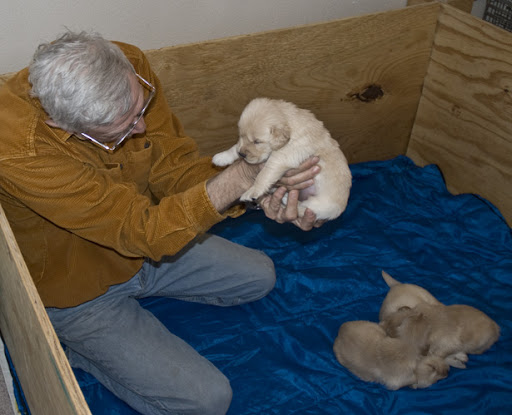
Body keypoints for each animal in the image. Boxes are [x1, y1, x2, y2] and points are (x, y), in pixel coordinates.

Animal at [212, 97, 352, 221]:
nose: (242, 155)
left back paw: (286, 200)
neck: (289, 121)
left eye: (257, 141)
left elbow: (264, 173)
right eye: (241, 136)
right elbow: (235, 147)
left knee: (305, 209)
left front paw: (252, 191)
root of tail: (340, 208)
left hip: (324, 205)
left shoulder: (283, 156)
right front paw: (222, 157)